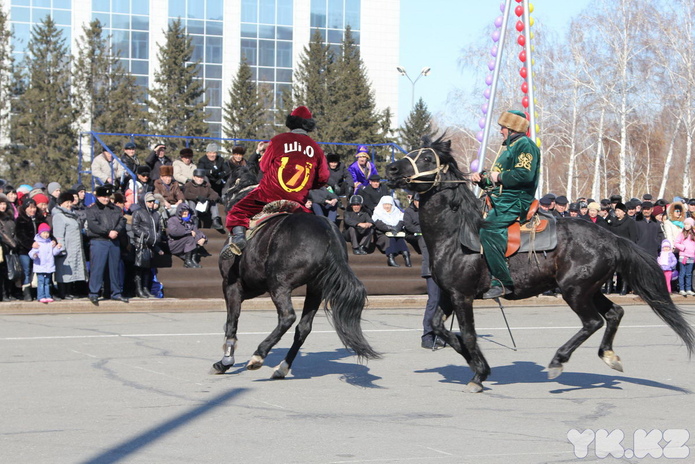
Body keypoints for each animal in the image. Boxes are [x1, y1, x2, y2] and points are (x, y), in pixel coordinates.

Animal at [211, 169, 380, 378]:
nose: (222, 195)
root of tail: (328, 232)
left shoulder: (231, 284)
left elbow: (232, 321)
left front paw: (225, 361)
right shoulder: (252, 286)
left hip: (279, 285)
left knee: (288, 317)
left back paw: (258, 355)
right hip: (315, 288)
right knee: (304, 326)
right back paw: (282, 367)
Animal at [388, 136, 692, 394]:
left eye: (427, 158)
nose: (391, 168)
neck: (455, 233)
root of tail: (612, 238)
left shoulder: (462, 296)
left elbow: (470, 335)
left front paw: (478, 374)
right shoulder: (448, 294)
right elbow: (440, 327)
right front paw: (473, 361)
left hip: (575, 290)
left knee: (593, 321)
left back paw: (558, 360)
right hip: (590, 288)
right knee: (614, 313)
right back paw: (608, 355)